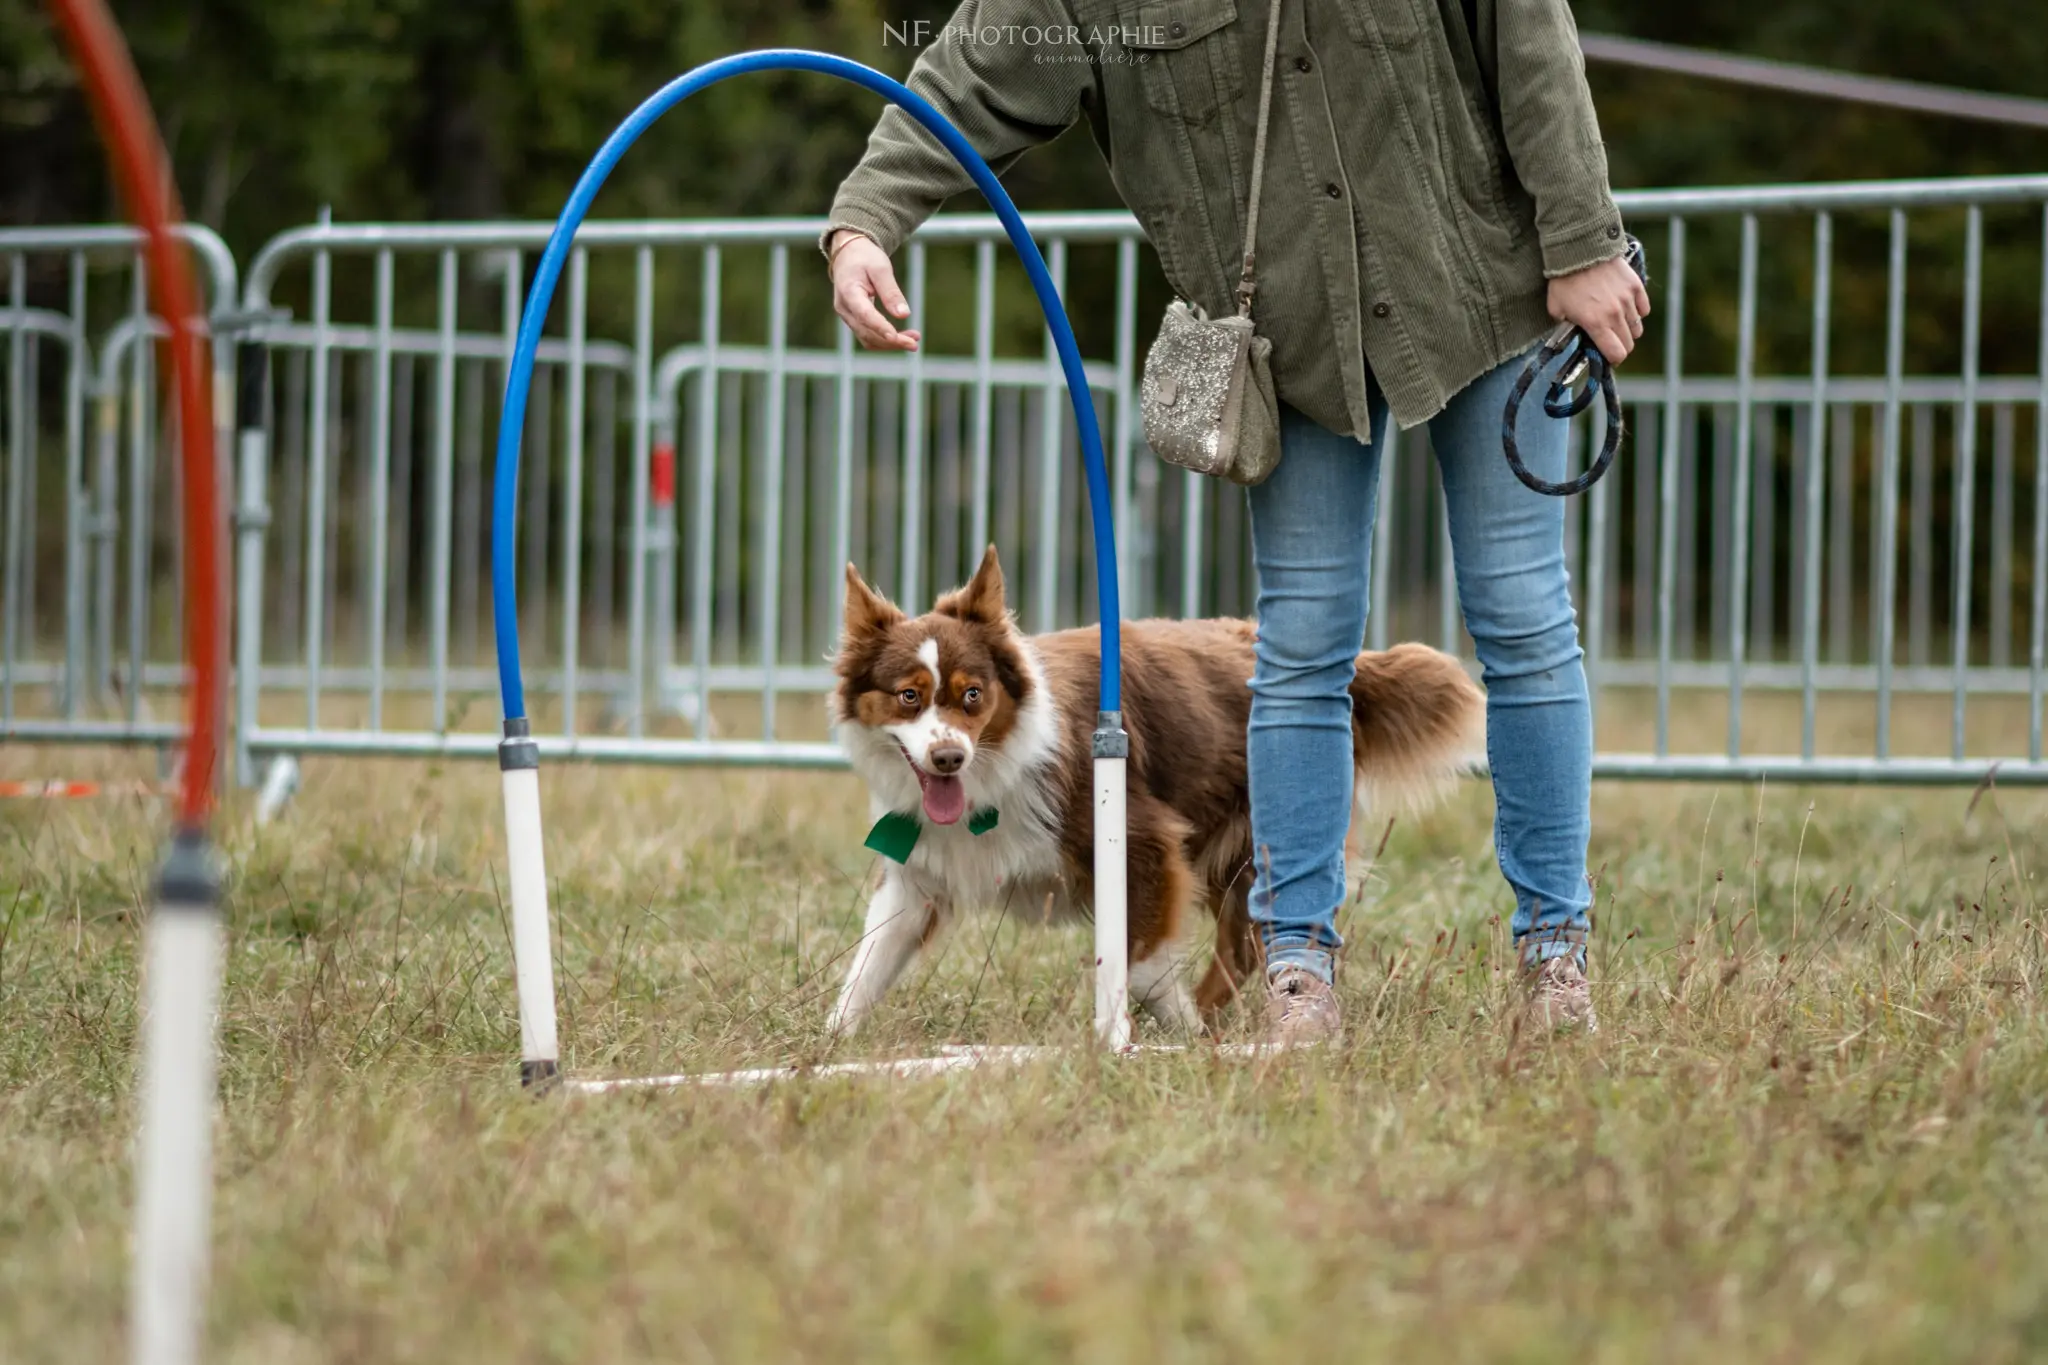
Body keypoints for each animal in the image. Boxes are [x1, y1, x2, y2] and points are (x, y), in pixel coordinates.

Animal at [823, 544, 1482, 1035]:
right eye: (909, 696)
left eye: (972, 695)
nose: (948, 757)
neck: (997, 767)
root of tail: (1343, 672)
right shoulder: (919, 876)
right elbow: (869, 963)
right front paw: (828, 1042)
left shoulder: (1145, 841)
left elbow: (1137, 967)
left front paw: (1166, 1027)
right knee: (1243, 948)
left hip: (1257, 844)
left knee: (1246, 946)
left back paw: (1215, 1024)